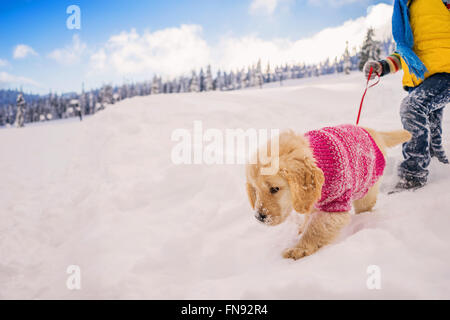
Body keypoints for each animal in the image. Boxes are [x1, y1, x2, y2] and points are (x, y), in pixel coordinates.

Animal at [246, 125, 412, 260]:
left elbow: (316, 228)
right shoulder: (313, 200)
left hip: (366, 189)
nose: (259, 217)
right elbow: (309, 216)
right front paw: (301, 230)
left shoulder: (335, 205)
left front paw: (300, 248)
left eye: (275, 189)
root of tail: (370, 131)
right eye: (255, 190)